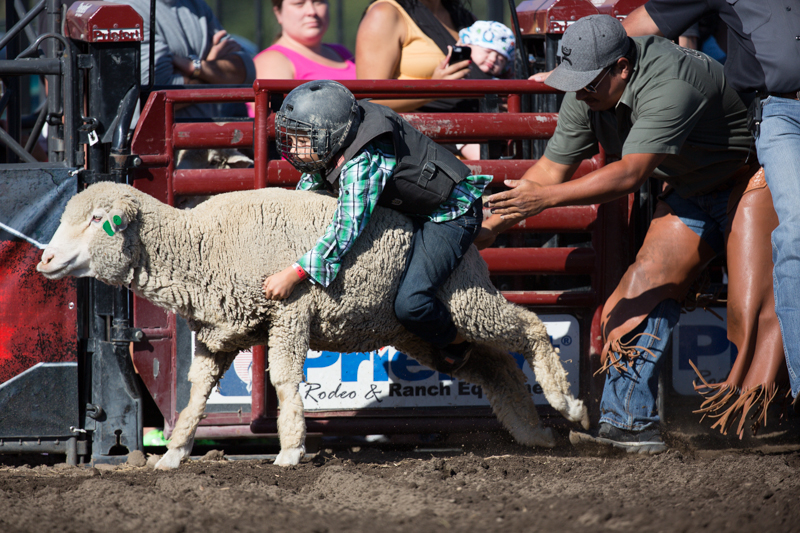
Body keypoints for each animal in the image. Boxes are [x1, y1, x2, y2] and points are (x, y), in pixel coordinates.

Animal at [37, 182, 589, 469]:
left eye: (97, 220)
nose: (44, 260)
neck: (203, 244)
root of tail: (476, 243)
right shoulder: (219, 334)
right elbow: (195, 393)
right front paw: (173, 455)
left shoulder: (289, 312)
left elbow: (283, 380)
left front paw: (291, 449)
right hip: (423, 328)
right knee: (494, 365)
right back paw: (533, 433)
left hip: (463, 300)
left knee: (530, 327)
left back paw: (567, 404)